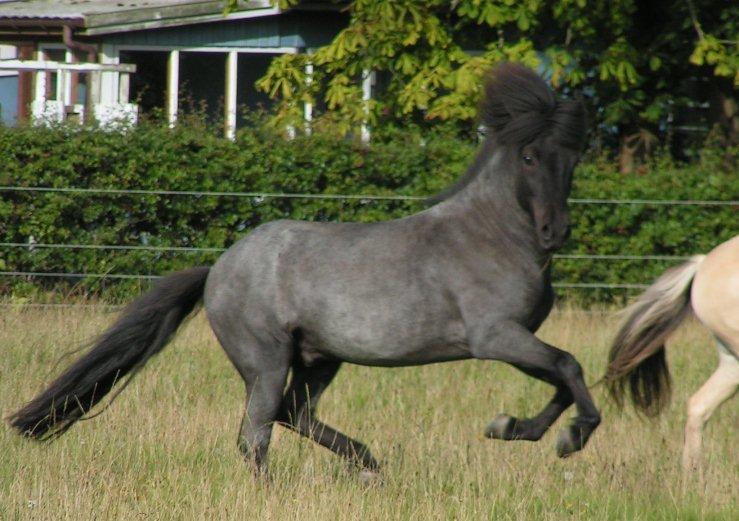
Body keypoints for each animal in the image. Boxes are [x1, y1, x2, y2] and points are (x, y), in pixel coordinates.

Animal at [8, 63, 600, 478]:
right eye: (528, 156)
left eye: (573, 159)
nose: (555, 233)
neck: (490, 235)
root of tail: (219, 268)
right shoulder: (494, 336)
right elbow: (569, 367)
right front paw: (554, 436)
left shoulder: (516, 339)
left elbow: (563, 379)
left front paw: (520, 430)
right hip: (266, 361)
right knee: (257, 433)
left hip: (319, 358)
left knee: (293, 415)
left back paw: (367, 462)